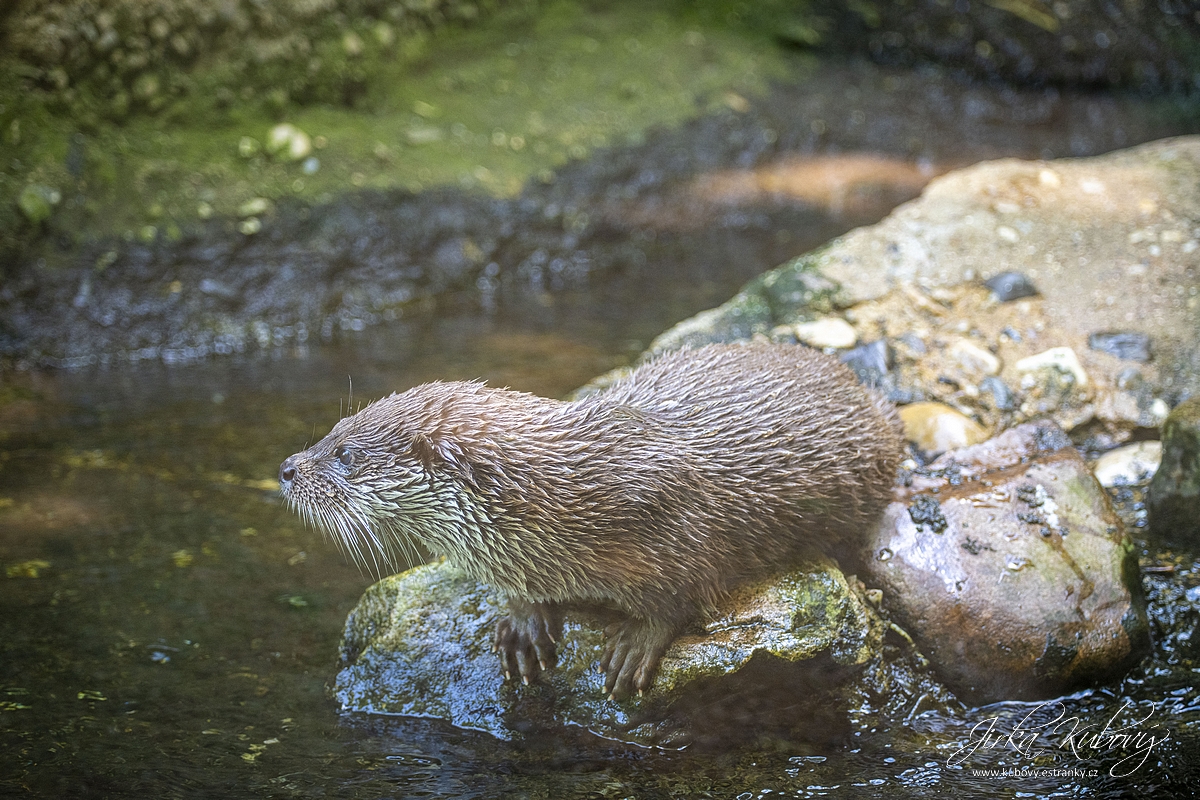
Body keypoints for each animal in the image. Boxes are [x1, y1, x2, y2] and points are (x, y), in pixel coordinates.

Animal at [278, 345, 902, 700]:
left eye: (346, 455)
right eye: (333, 429)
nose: (286, 468)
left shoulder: (679, 522)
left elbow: (686, 592)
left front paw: (636, 644)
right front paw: (524, 624)